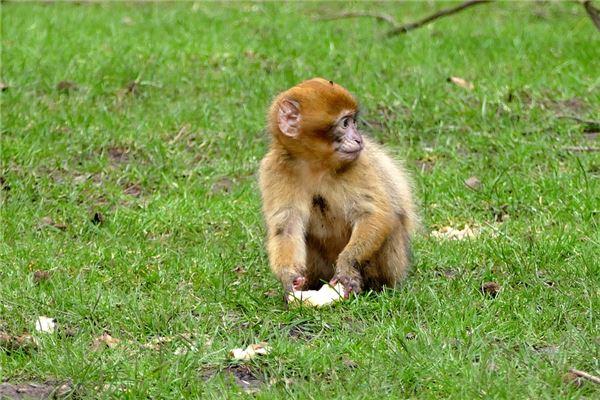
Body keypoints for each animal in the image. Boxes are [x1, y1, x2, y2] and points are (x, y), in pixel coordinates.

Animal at [258, 77, 418, 296]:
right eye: (345, 123)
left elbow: (374, 214)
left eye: (353, 122)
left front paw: (347, 267)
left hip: (394, 265)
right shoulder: (273, 169)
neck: (315, 165)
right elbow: (286, 226)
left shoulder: (360, 162)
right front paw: (289, 277)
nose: (359, 139)